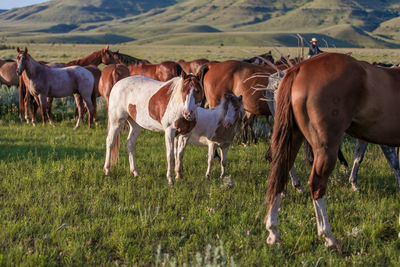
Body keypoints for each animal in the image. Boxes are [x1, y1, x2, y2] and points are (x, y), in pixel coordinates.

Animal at [266, 51, 400, 249]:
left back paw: (273, 231)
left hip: (292, 138)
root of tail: (299, 68)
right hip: (326, 147)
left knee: (280, 175)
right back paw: (328, 236)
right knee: (317, 185)